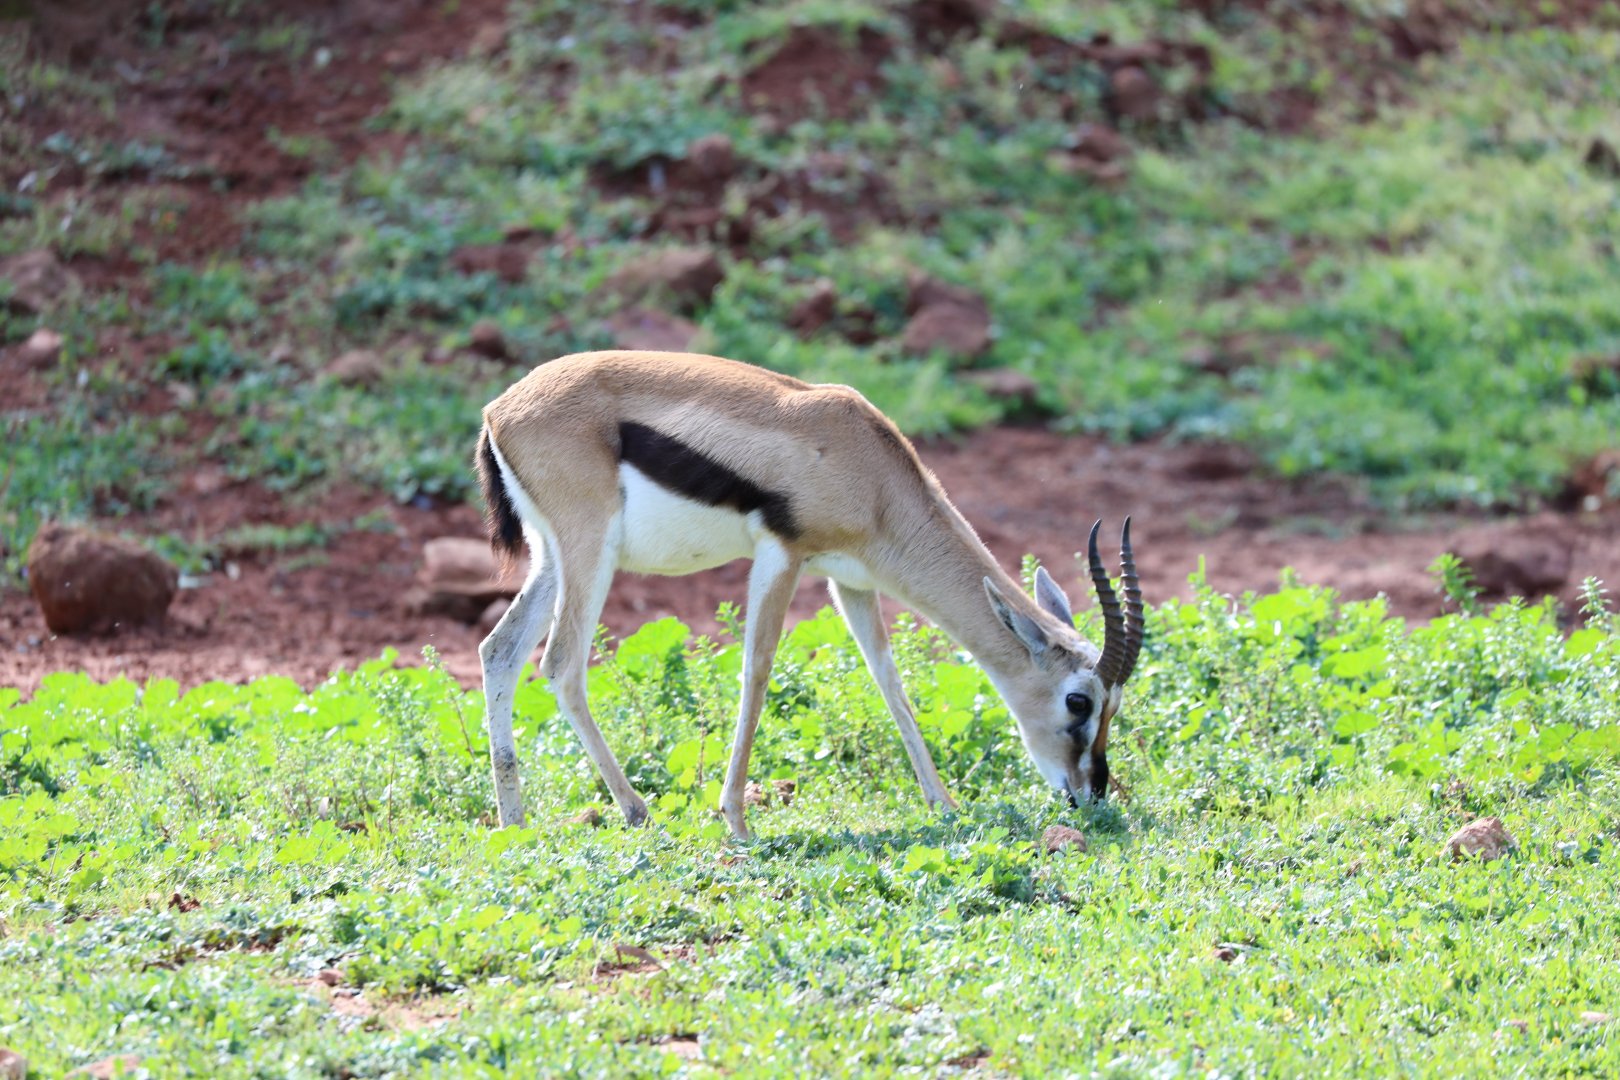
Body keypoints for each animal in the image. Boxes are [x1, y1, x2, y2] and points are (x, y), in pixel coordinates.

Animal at [475, 350, 1144, 838]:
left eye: (1114, 706)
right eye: (1079, 701)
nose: (1091, 792)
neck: (873, 477)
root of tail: (499, 409)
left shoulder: (851, 580)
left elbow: (889, 680)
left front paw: (945, 805)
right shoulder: (782, 555)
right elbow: (757, 671)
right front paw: (737, 820)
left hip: (553, 558)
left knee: (499, 651)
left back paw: (514, 822)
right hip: (590, 552)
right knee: (562, 665)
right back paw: (636, 811)